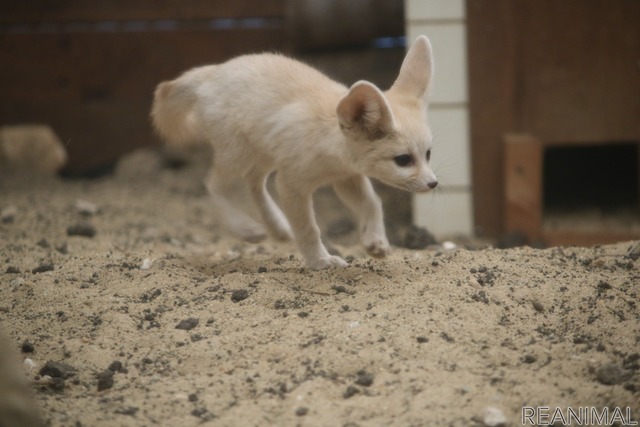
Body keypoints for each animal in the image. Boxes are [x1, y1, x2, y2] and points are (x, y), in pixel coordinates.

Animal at [152, 36, 438, 270]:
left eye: (428, 154)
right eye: (403, 160)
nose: (433, 184)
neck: (329, 137)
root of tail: (212, 72)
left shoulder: (346, 177)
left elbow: (372, 203)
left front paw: (374, 241)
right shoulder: (291, 184)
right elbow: (308, 228)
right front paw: (320, 261)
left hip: (263, 155)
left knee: (253, 183)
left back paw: (277, 226)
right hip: (238, 156)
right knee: (213, 184)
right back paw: (244, 227)